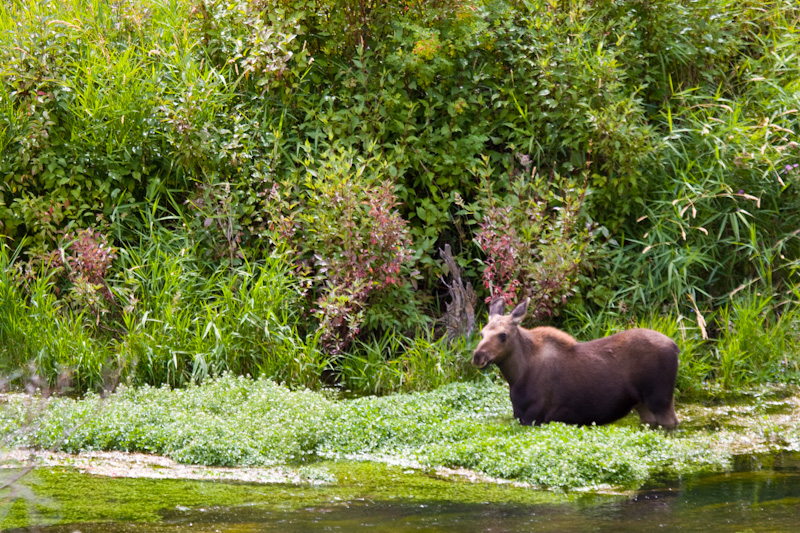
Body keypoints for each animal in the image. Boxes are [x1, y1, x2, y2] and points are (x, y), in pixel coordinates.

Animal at [472, 298, 680, 430]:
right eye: (482, 333)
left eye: (503, 335)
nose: (478, 356)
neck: (516, 376)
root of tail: (676, 347)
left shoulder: (534, 417)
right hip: (643, 404)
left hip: (661, 400)